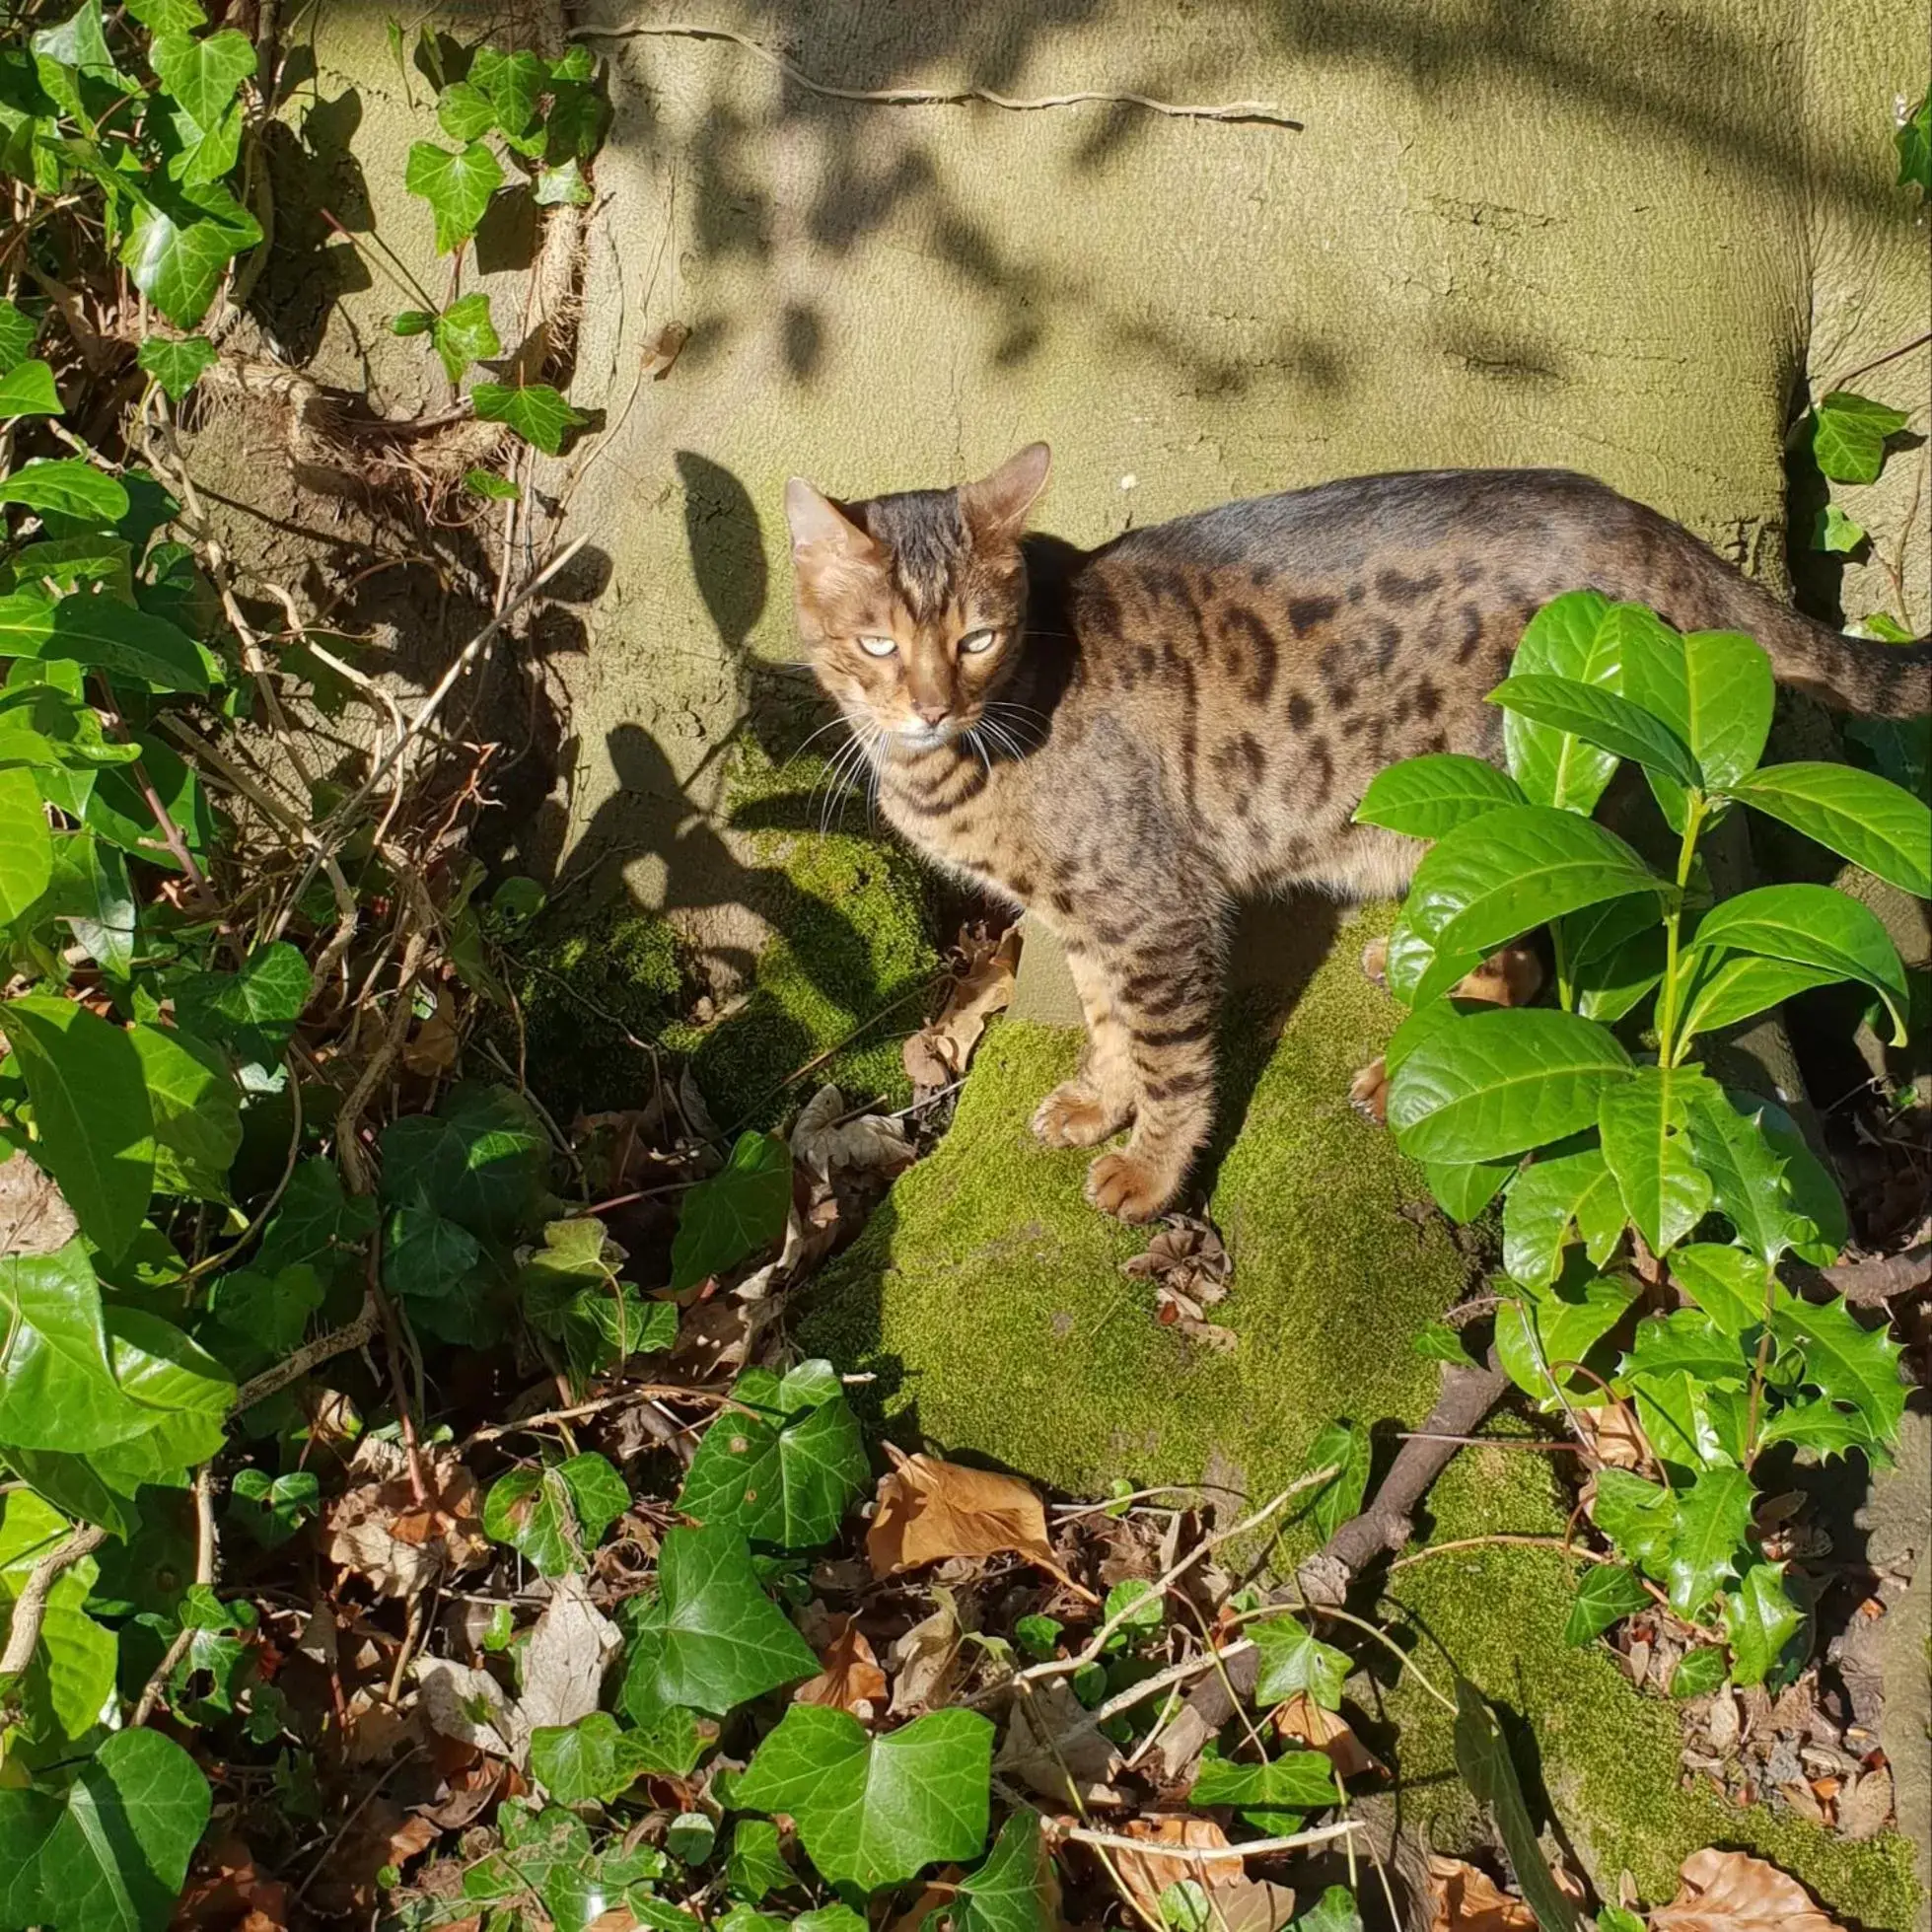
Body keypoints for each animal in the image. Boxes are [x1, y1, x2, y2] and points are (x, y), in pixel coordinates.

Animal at [784, 444, 1932, 1213]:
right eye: (877, 644)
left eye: (976, 638)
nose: (930, 705)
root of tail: (1639, 518)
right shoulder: (1090, 911)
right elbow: (1109, 1025)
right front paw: (1098, 1102)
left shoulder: (1151, 907)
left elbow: (1168, 1057)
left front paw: (1152, 1168)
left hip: (1501, 791)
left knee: (1522, 955)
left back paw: (1411, 1064)